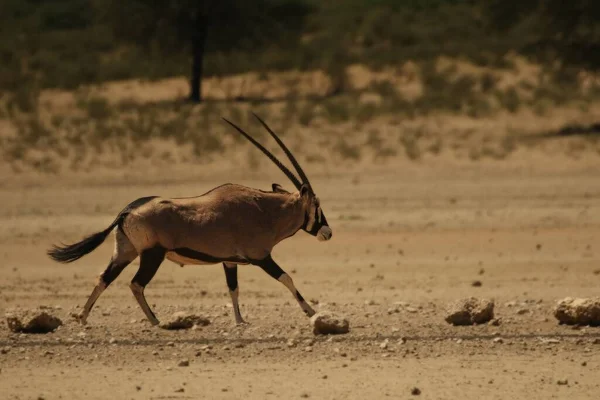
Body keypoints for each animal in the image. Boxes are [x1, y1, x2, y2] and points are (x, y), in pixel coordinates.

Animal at [49, 112, 332, 324]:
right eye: (316, 205)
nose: (327, 233)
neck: (264, 210)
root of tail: (128, 209)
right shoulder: (260, 257)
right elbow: (286, 278)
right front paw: (310, 311)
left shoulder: (230, 261)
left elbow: (233, 288)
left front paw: (240, 320)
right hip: (152, 255)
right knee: (136, 284)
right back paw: (155, 320)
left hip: (125, 252)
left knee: (104, 278)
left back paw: (83, 317)